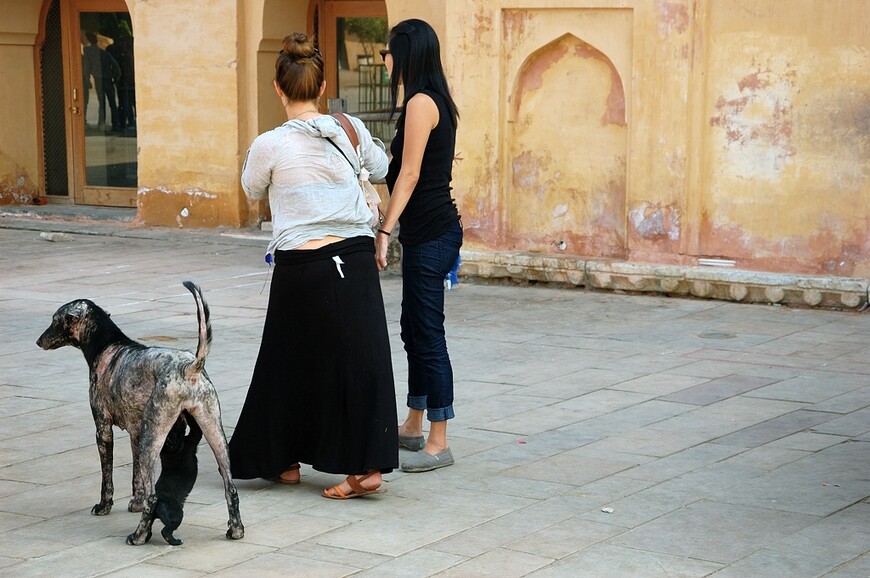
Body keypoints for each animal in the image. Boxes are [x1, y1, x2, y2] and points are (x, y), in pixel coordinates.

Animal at [127, 410, 203, 544]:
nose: (179, 418)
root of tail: (157, 503)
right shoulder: (191, 440)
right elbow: (196, 428)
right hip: (176, 513)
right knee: (166, 529)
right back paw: (175, 541)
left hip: (153, 516)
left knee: (148, 527)